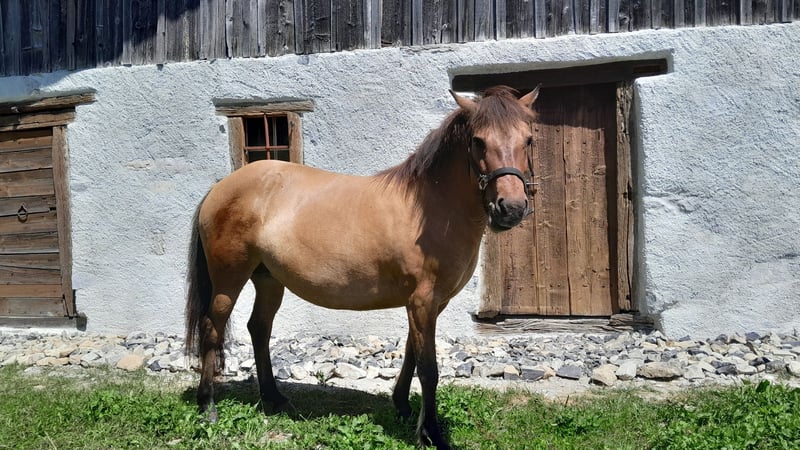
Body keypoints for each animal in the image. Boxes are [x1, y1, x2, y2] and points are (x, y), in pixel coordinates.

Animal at [185, 85, 540, 449]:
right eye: (478, 141)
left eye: (528, 139)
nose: (511, 208)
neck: (431, 209)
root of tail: (220, 186)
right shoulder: (423, 301)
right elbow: (428, 369)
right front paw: (431, 434)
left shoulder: (428, 304)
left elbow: (411, 353)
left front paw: (402, 407)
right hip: (229, 279)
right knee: (212, 329)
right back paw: (208, 405)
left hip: (269, 280)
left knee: (259, 328)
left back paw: (274, 398)